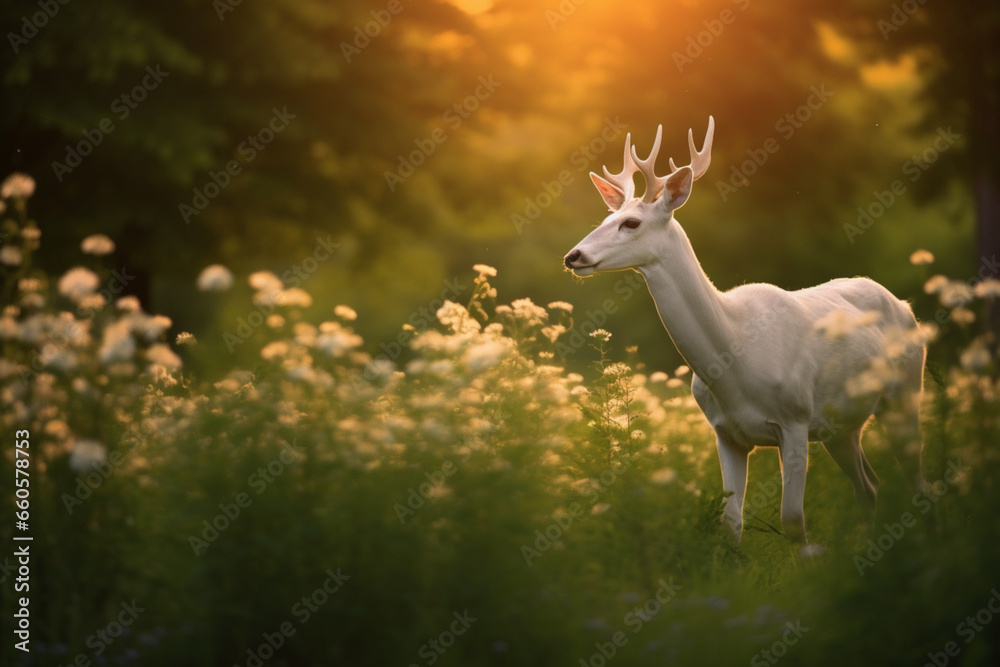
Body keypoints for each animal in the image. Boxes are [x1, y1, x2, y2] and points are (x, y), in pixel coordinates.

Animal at [563, 117, 929, 545]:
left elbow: (793, 519)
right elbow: (731, 523)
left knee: (919, 484)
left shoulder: (795, 418)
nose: (573, 256)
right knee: (870, 486)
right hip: (842, 427)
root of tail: (904, 306)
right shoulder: (726, 432)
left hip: (905, 393)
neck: (736, 358)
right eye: (603, 220)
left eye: (631, 222)